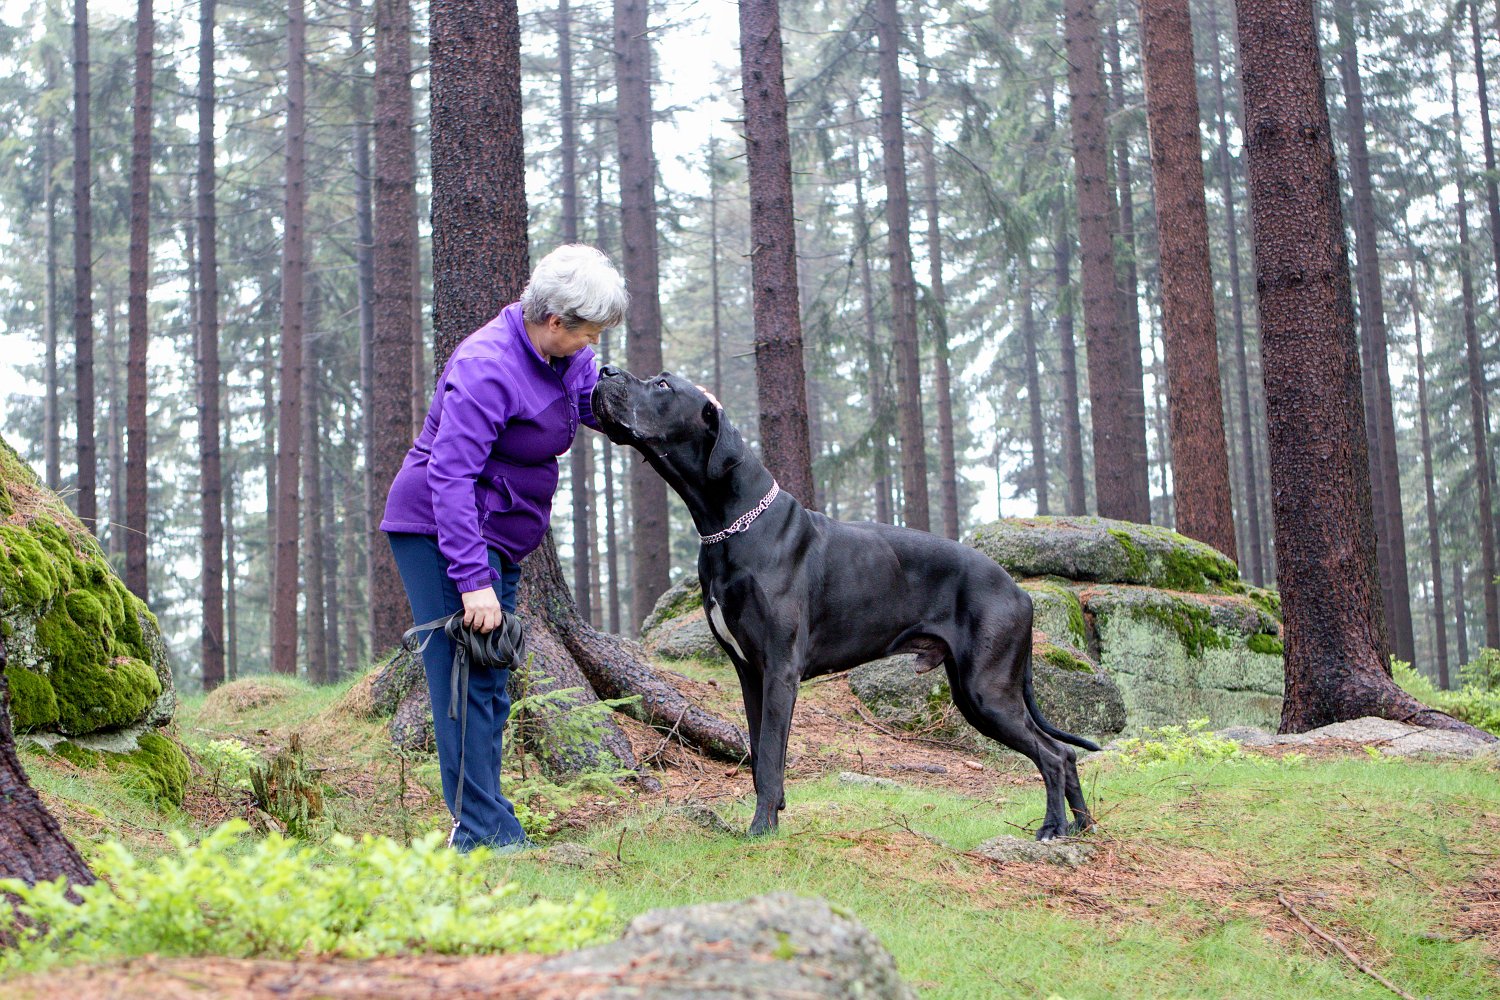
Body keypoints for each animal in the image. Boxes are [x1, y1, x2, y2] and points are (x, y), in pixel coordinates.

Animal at [591, 367, 1098, 839]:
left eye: (663, 385)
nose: (605, 370)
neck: (732, 526)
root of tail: (1019, 590)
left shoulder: (780, 670)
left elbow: (770, 755)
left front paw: (761, 830)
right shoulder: (750, 673)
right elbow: (759, 754)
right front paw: (770, 815)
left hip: (986, 691)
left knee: (1053, 754)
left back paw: (1053, 827)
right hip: (976, 693)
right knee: (1067, 753)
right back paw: (1083, 826)